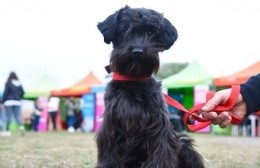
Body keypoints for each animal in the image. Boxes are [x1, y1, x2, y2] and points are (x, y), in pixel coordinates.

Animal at [95, 5, 205, 167]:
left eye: (151, 32)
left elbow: (160, 154)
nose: (138, 52)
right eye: (124, 30)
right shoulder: (111, 127)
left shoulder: (159, 127)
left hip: (183, 144)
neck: (134, 80)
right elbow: (110, 154)